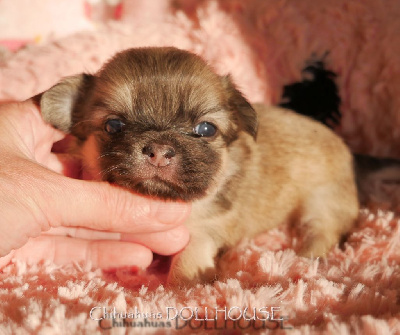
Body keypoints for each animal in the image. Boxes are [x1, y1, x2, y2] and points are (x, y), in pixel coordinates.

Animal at [40, 47, 360, 288]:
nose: (159, 151)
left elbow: (188, 259)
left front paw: (183, 288)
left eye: (205, 129)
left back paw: (302, 258)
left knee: (323, 233)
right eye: (114, 126)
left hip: (321, 203)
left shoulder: (204, 229)